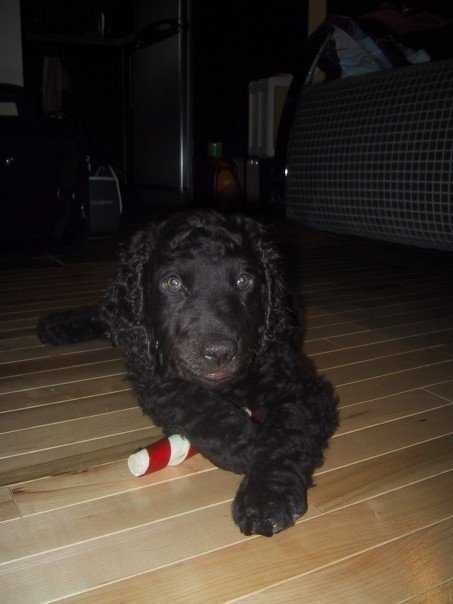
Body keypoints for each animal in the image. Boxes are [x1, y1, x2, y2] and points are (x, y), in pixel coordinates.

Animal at [38, 211, 336, 536]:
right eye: (172, 283)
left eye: (244, 280)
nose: (219, 353)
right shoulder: (153, 373)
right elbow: (200, 407)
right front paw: (247, 445)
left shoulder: (295, 381)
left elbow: (287, 432)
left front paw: (267, 496)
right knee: (107, 315)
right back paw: (60, 324)